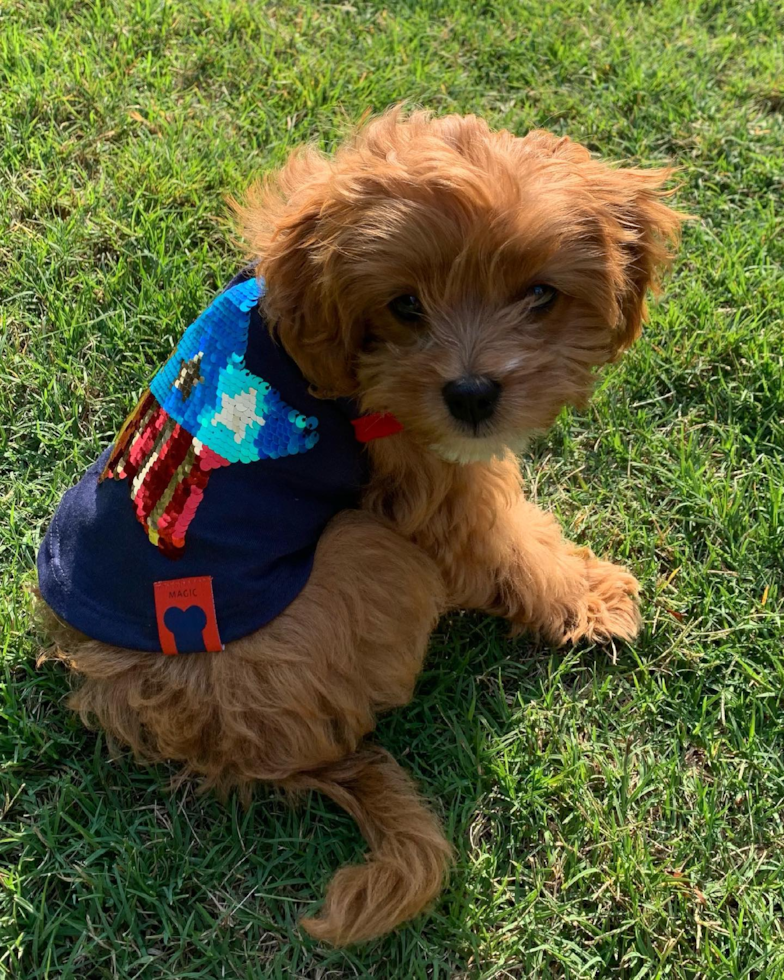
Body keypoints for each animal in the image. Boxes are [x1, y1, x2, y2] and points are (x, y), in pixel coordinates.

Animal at [39, 109, 684, 948]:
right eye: (405, 305)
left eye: (540, 294)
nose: (472, 394)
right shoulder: (430, 484)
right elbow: (507, 544)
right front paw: (590, 596)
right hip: (369, 559)